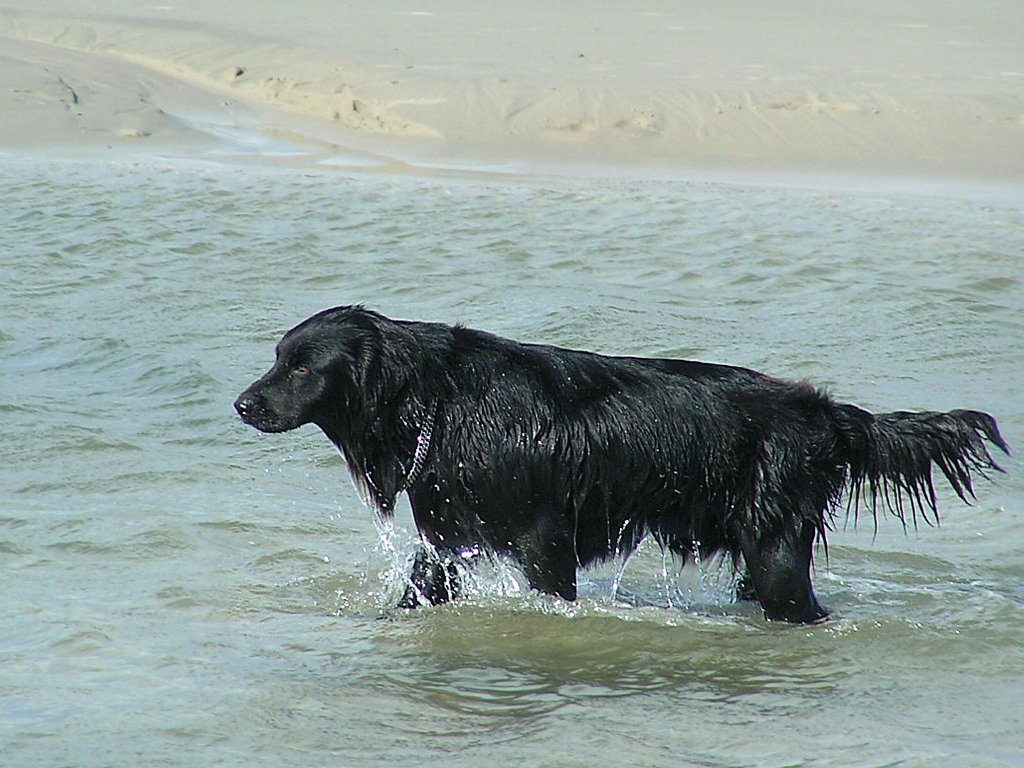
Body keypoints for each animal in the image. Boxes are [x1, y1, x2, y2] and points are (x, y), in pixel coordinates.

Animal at [234, 307, 1007, 626]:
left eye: (301, 367)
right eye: (277, 356)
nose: (243, 404)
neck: (442, 403)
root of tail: (827, 412)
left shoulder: (544, 543)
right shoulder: (446, 540)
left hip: (776, 551)